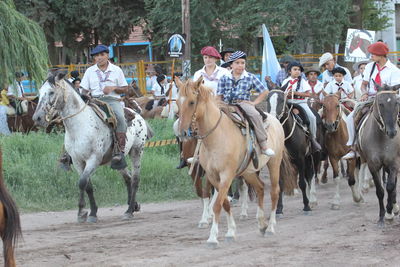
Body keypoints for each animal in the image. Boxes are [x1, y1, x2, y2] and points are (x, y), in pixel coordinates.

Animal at [32, 70, 148, 222]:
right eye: (40, 92)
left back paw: (129, 211)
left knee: (135, 179)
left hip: (136, 151)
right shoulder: (77, 162)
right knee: (127, 178)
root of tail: (136, 114)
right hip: (116, 161)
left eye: (51, 92)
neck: (80, 126)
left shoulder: (93, 159)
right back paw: (133, 205)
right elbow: (88, 186)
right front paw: (91, 212)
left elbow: (82, 182)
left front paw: (83, 212)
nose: (37, 118)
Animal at [176, 77, 296, 247]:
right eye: (177, 102)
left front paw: (213, 237)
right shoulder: (213, 176)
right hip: (249, 171)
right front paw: (231, 232)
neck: (217, 137)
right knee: (260, 188)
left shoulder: (226, 175)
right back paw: (262, 224)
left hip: (274, 163)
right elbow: (224, 203)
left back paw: (271, 227)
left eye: (192, 102)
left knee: (274, 192)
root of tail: (274, 119)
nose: (182, 132)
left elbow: (217, 204)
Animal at [356, 85, 400, 227]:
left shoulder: (394, 163)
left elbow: (390, 186)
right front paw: (381, 216)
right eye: (380, 104)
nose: (392, 132)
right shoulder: (373, 165)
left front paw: (389, 213)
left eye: (396, 103)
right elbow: (380, 190)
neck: (381, 137)